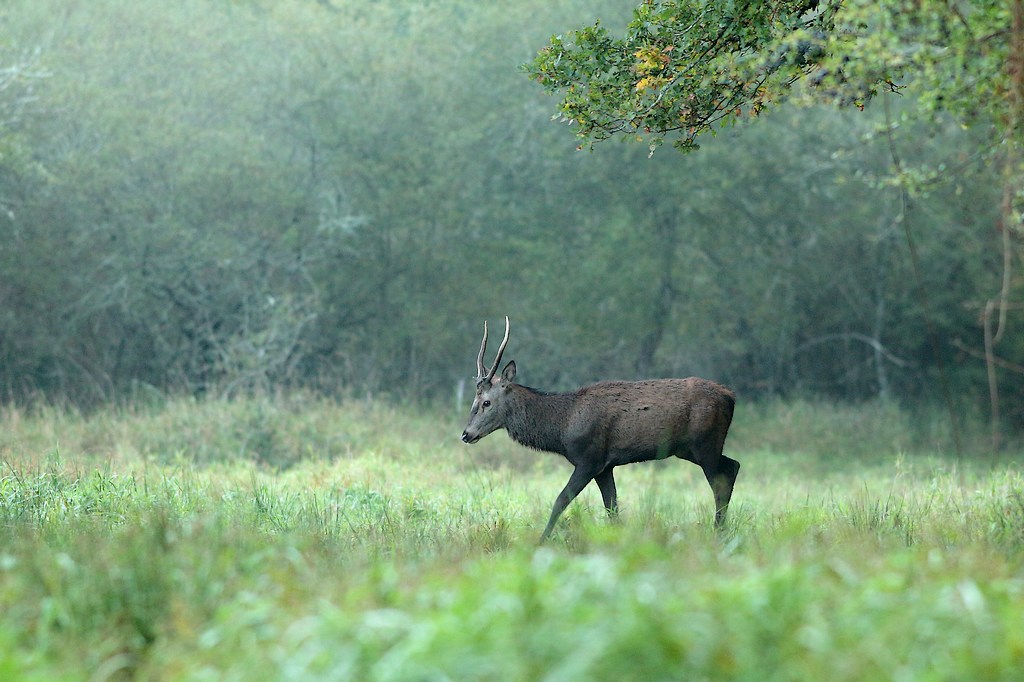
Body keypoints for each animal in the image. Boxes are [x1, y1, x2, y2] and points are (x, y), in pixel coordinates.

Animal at [461, 316, 739, 542]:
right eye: (474, 400)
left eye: (486, 402)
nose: (466, 434)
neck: (561, 428)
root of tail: (731, 397)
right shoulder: (606, 467)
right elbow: (612, 508)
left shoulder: (589, 459)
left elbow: (560, 500)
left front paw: (540, 541)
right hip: (690, 449)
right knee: (733, 466)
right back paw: (721, 529)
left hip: (705, 443)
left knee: (721, 479)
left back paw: (717, 531)